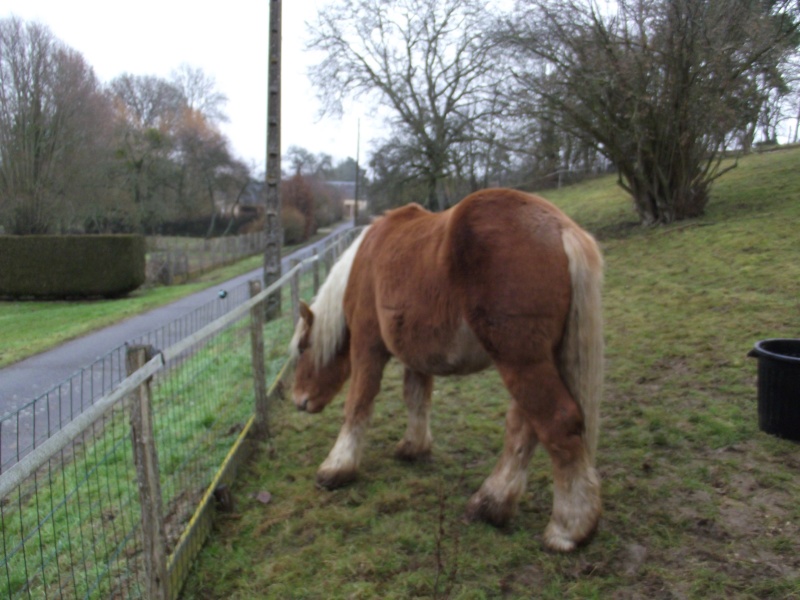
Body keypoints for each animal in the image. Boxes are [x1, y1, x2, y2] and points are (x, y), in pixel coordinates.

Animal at [290, 190, 604, 552]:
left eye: (302, 348)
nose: (298, 400)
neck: (363, 263)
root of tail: (559, 227)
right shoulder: (414, 357)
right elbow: (416, 398)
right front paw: (414, 447)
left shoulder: (367, 347)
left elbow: (358, 404)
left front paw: (337, 467)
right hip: (535, 361)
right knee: (524, 428)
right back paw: (492, 504)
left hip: (521, 361)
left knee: (556, 423)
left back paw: (568, 528)